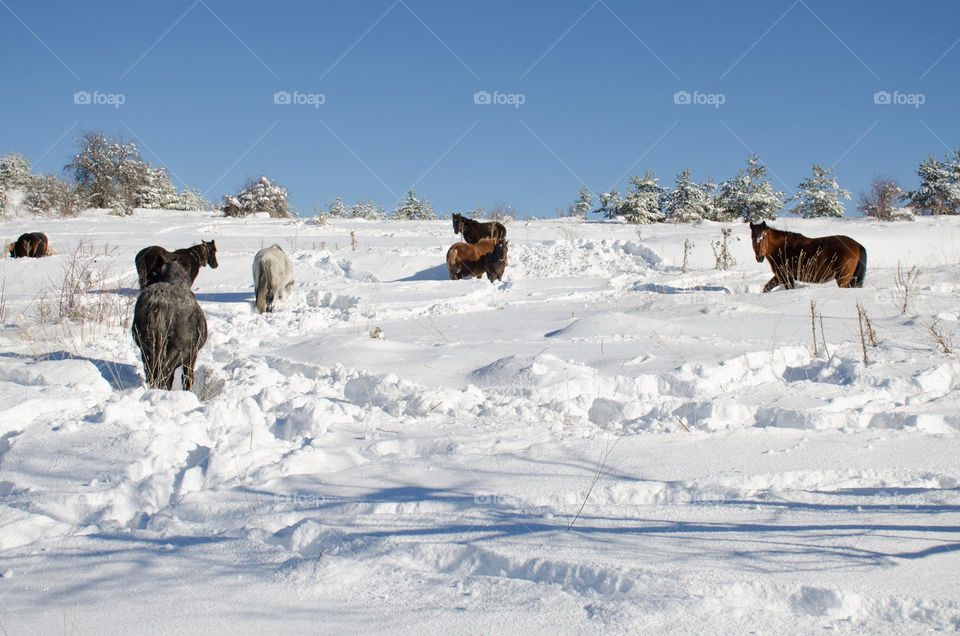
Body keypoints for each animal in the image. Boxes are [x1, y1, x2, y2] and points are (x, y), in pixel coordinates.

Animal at [132, 257, 208, 391]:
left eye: (153, 272)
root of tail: (158, 305)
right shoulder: (192, 354)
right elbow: (187, 379)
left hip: (145, 347)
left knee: (152, 375)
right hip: (174, 351)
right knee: (164, 376)